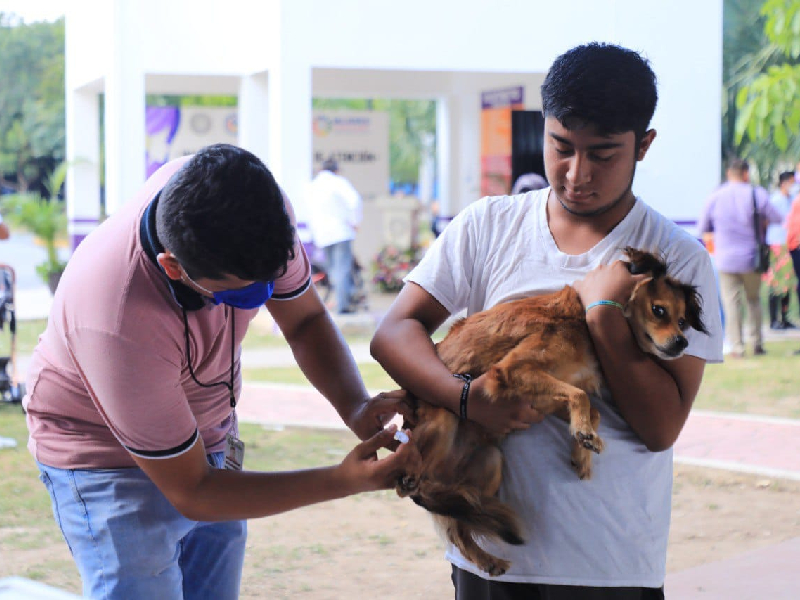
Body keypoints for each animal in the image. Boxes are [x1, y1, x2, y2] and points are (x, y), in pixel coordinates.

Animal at [398, 247, 708, 576]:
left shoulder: (543, 399)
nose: (682, 342)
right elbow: (581, 397)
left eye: (683, 321)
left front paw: (583, 446)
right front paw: (585, 434)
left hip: (490, 461)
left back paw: (487, 557)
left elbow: (589, 408)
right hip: (442, 422)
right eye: (658, 311)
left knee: (458, 524)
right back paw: (412, 482)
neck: (586, 326)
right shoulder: (514, 371)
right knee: (416, 488)